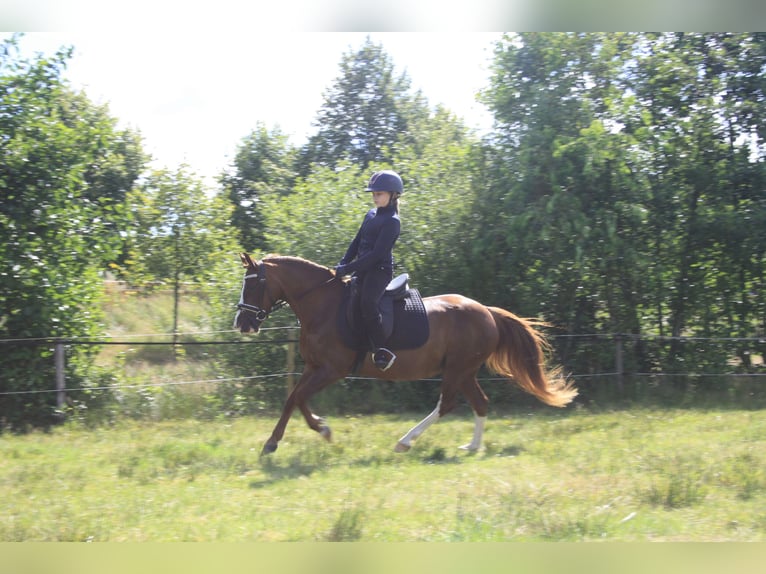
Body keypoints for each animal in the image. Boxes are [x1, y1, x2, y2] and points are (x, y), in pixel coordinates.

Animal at [234, 254, 576, 456]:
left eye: (253, 286)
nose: (242, 323)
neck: (323, 306)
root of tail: (486, 311)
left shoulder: (332, 370)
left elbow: (299, 398)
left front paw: (312, 432)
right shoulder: (314, 367)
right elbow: (294, 398)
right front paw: (290, 437)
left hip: (457, 369)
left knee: (447, 404)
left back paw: (406, 441)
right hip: (464, 371)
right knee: (480, 403)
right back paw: (471, 447)